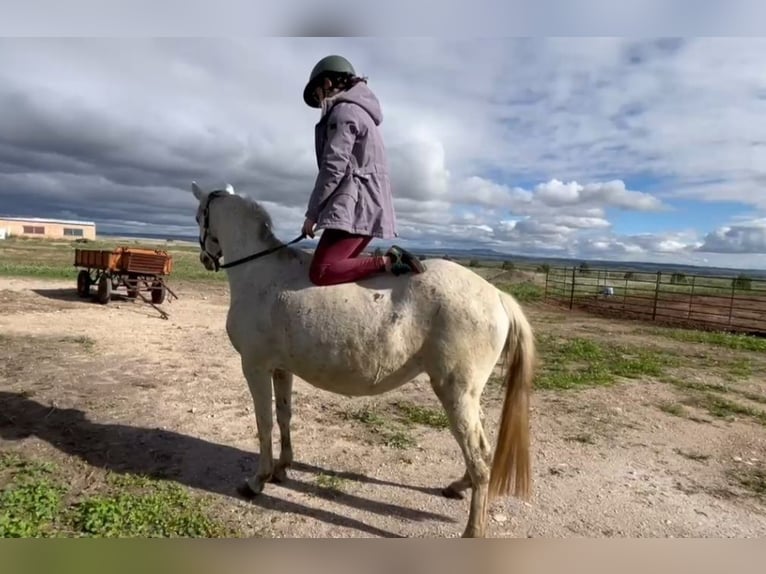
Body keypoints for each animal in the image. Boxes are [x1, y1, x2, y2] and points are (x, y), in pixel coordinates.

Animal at [192, 183, 540, 540]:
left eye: (198, 217)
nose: (205, 259)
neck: (261, 274)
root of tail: (497, 295)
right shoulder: (280, 369)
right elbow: (283, 417)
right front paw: (282, 468)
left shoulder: (255, 367)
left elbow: (263, 424)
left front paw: (257, 481)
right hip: (469, 394)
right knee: (481, 449)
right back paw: (457, 485)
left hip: (455, 392)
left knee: (479, 458)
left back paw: (473, 528)